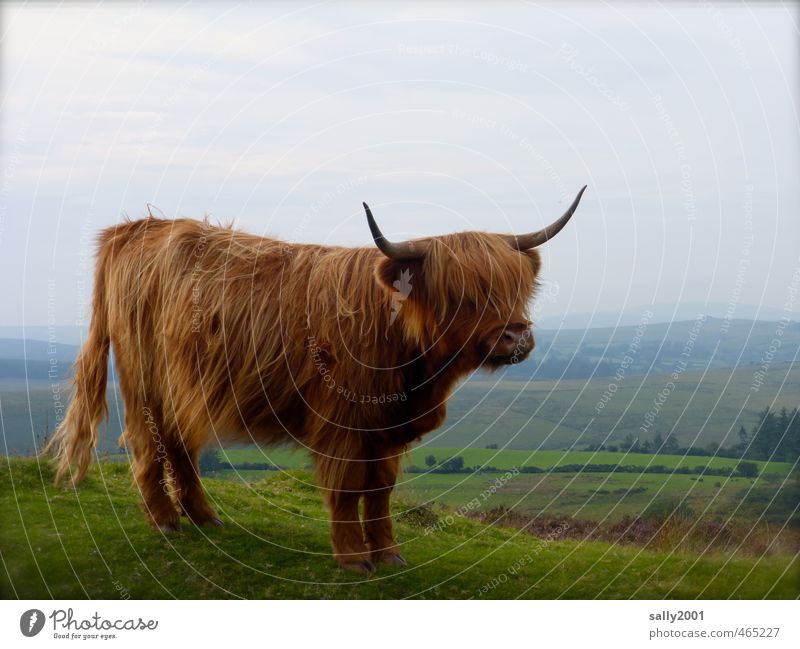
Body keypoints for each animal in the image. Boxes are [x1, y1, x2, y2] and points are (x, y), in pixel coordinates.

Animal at [48, 186, 588, 568]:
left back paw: (205, 517)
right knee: (148, 440)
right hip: (145, 379)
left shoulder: (385, 428)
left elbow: (380, 491)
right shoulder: (343, 423)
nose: (516, 337)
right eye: (460, 295)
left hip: (185, 385)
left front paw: (389, 553)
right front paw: (353, 559)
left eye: (516, 287)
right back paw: (165, 522)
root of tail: (137, 228)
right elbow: (348, 489)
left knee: (179, 443)